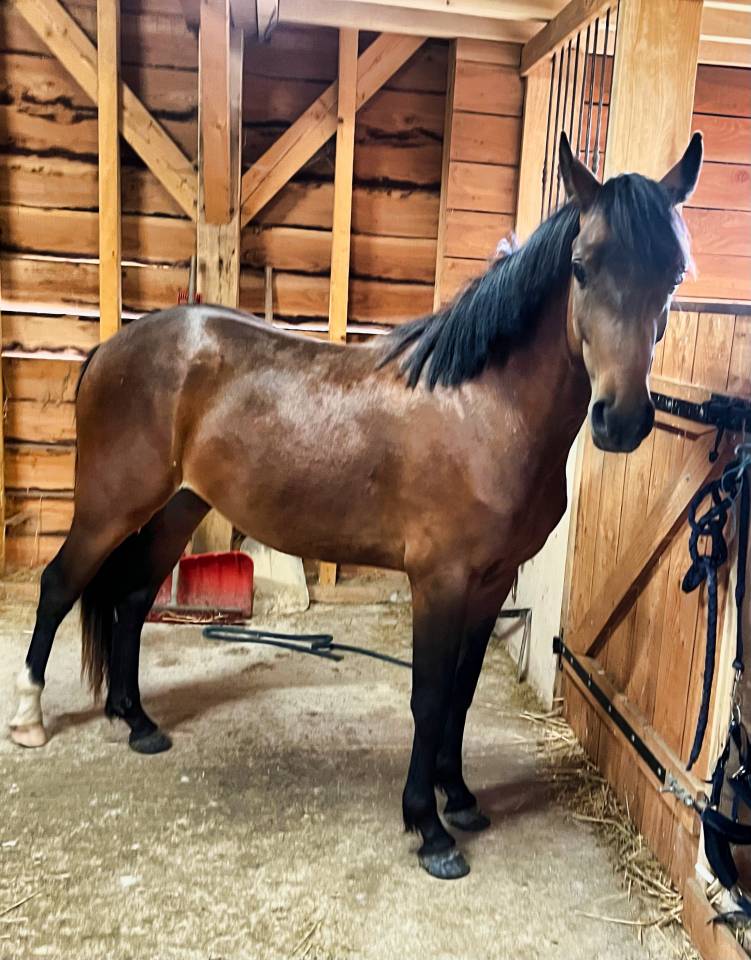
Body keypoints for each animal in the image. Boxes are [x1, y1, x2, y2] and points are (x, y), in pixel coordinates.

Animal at [9, 132, 702, 880]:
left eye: (674, 275)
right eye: (580, 266)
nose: (621, 420)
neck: (483, 407)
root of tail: (112, 347)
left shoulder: (491, 583)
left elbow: (462, 691)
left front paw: (459, 797)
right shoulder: (439, 580)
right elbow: (430, 695)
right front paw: (428, 827)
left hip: (179, 508)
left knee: (134, 596)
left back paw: (136, 721)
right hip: (109, 507)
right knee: (61, 585)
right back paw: (29, 718)